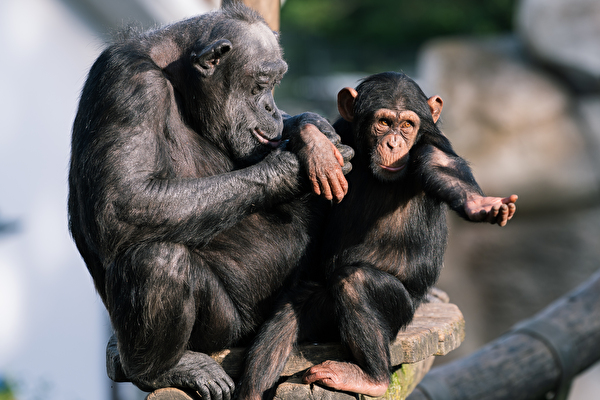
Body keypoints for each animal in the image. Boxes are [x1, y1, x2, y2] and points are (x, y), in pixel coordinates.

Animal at [68, 3, 352, 400]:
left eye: (275, 86)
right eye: (261, 83)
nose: (271, 107)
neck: (176, 79)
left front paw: (314, 128)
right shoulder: (127, 85)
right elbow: (123, 200)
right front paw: (293, 168)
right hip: (225, 330)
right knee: (156, 259)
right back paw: (166, 369)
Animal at [237, 72, 516, 400]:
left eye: (407, 125)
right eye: (383, 122)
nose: (394, 143)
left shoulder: (432, 148)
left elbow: (447, 171)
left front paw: (482, 205)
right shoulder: (343, 130)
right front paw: (316, 147)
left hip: (401, 313)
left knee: (354, 281)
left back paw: (372, 378)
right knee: (286, 316)